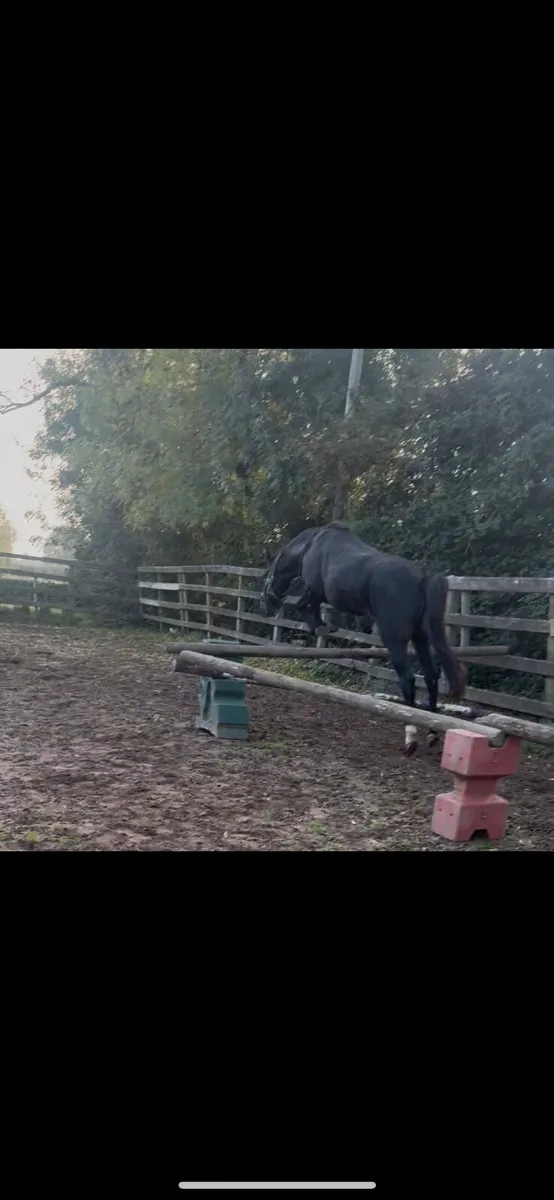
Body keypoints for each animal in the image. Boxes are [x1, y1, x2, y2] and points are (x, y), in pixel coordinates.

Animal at [297, 523, 466, 715]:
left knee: (407, 677)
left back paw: (406, 711)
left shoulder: (316, 588)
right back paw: (430, 713)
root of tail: (420, 580)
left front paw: (318, 626)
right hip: (420, 637)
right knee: (430, 674)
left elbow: (305, 603)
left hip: (394, 639)